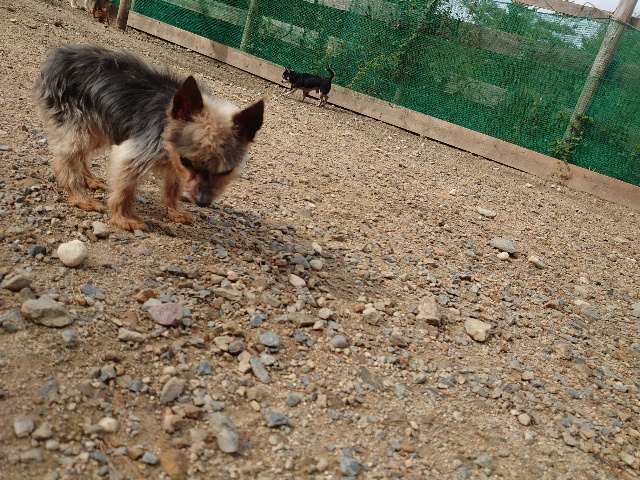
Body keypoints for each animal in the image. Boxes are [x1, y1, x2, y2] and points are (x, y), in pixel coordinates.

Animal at [34, 45, 265, 231]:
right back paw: (79, 197)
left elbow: (173, 188)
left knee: (81, 154)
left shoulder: (174, 165)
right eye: (188, 161)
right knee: (66, 162)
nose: (202, 202)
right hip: (78, 124)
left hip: (98, 127)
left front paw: (174, 211)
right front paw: (123, 218)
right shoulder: (134, 153)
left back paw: (89, 179)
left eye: (226, 172)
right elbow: (125, 189)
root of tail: (58, 55)